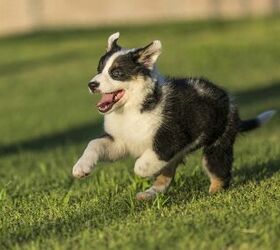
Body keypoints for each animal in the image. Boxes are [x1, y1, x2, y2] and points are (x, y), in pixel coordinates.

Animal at [72, 33, 276, 200]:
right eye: (99, 69)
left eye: (116, 73)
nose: (91, 85)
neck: (132, 109)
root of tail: (229, 101)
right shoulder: (120, 141)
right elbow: (94, 144)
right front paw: (81, 168)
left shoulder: (170, 139)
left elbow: (143, 163)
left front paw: (142, 170)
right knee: (167, 176)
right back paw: (149, 194)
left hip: (218, 144)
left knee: (220, 172)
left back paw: (213, 193)